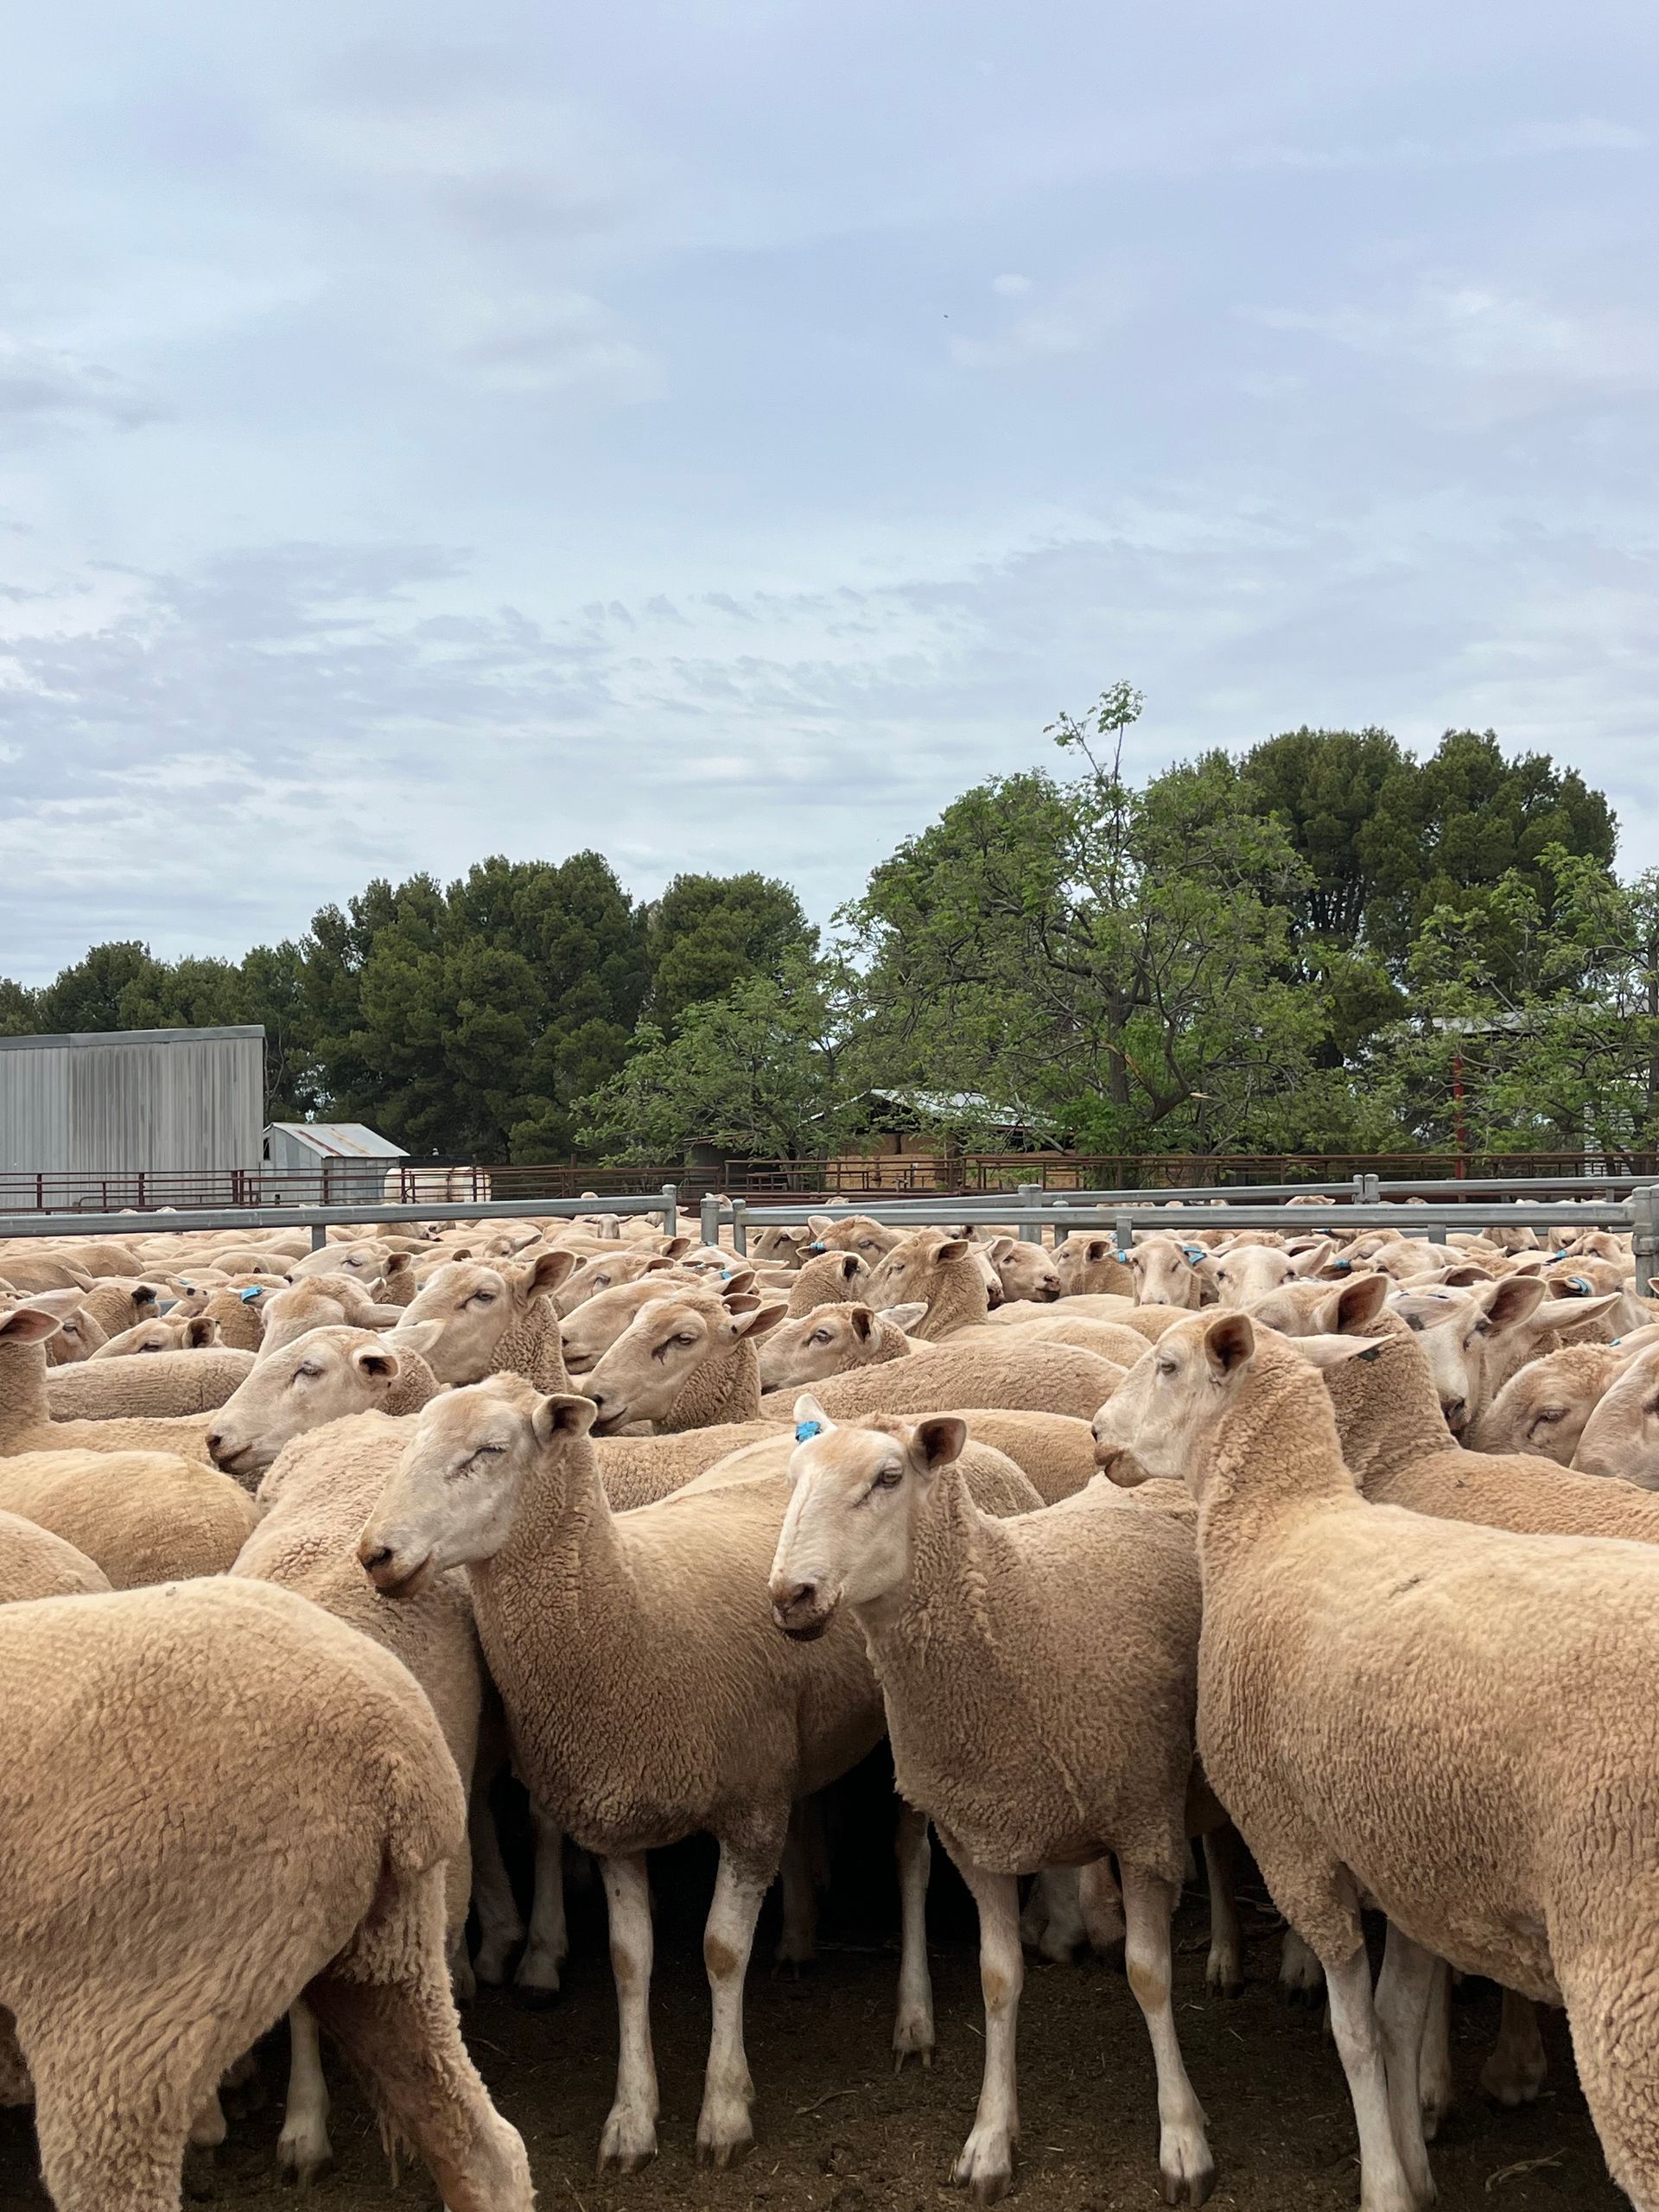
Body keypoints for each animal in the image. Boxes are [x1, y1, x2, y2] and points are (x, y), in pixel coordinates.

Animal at [358, 1378, 1042, 2171]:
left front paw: (723, 2111)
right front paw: (630, 2119)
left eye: (490, 1450)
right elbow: (629, 1959)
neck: (629, 1607)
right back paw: (799, 1938)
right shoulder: (617, 1815)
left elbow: (720, 1951)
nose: (374, 1553)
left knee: (910, 1862)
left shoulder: (748, 1811)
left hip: (925, 1730)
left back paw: (913, 2017)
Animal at [769, 1401, 1218, 2207]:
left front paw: (1183, 2139)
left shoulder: (1140, 1819)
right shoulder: (980, 1832)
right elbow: (997, 1979)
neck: (1013, 1612)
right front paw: (988, 2140)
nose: (790, 1596)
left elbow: (1150, 1976)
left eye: (888, 1478)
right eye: (792, 1480)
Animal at [1095, 1308, 1659, 2212]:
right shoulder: (1406, 1856)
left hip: (1624, 1980)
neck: (1277, 1522)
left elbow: (1354, 2031)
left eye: (1170, 1366)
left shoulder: (1296, 1850)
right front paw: (1418, 2159)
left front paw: (1385, 2180)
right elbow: (1400, 2013)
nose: (1096, 1433)